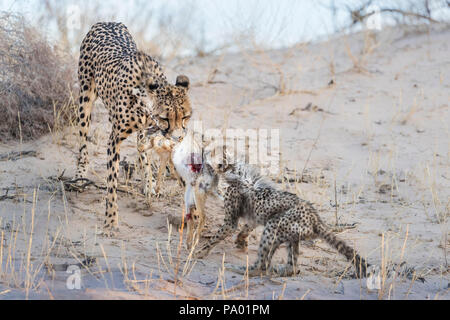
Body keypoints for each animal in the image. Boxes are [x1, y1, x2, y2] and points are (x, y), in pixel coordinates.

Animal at [74, 22, 191, 232]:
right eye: (165, 118)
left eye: (185, 117)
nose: (178, 137)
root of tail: (106, 22)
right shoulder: (114, 139)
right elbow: (112, 181)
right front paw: (111, 220)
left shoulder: (151, 133)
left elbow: (149, 157)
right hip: (85, 99)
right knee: (83, 143)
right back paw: (80, 176)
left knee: (142, 151)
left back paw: (148, 183)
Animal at [192, 162, 368, 278]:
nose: (195, 179)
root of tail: (316, 219)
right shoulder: (253, 217)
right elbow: (246, 228)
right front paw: (241, 241)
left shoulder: (231, 221)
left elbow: (215, 238)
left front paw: (197, 252)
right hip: (291, 235)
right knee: (292, 267)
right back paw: (279, 271)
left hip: (273, 226)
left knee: (261, 265)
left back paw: (239, 269)